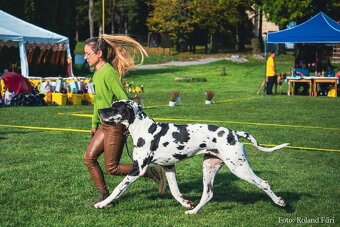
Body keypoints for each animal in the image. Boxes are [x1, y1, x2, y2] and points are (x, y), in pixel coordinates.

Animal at [95, 100, 290, 214]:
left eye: (114, 107)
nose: (99, 110)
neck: (145, 129)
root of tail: (233, 133)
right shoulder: (168, 167)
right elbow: (175, 191)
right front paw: (186, 203)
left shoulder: (138, 169)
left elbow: (118, 189)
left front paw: (102, 203)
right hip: (209, 168)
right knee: (208, 194)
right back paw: (193, 211)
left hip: (239, 168)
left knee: (264, 183)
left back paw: (280, 202)